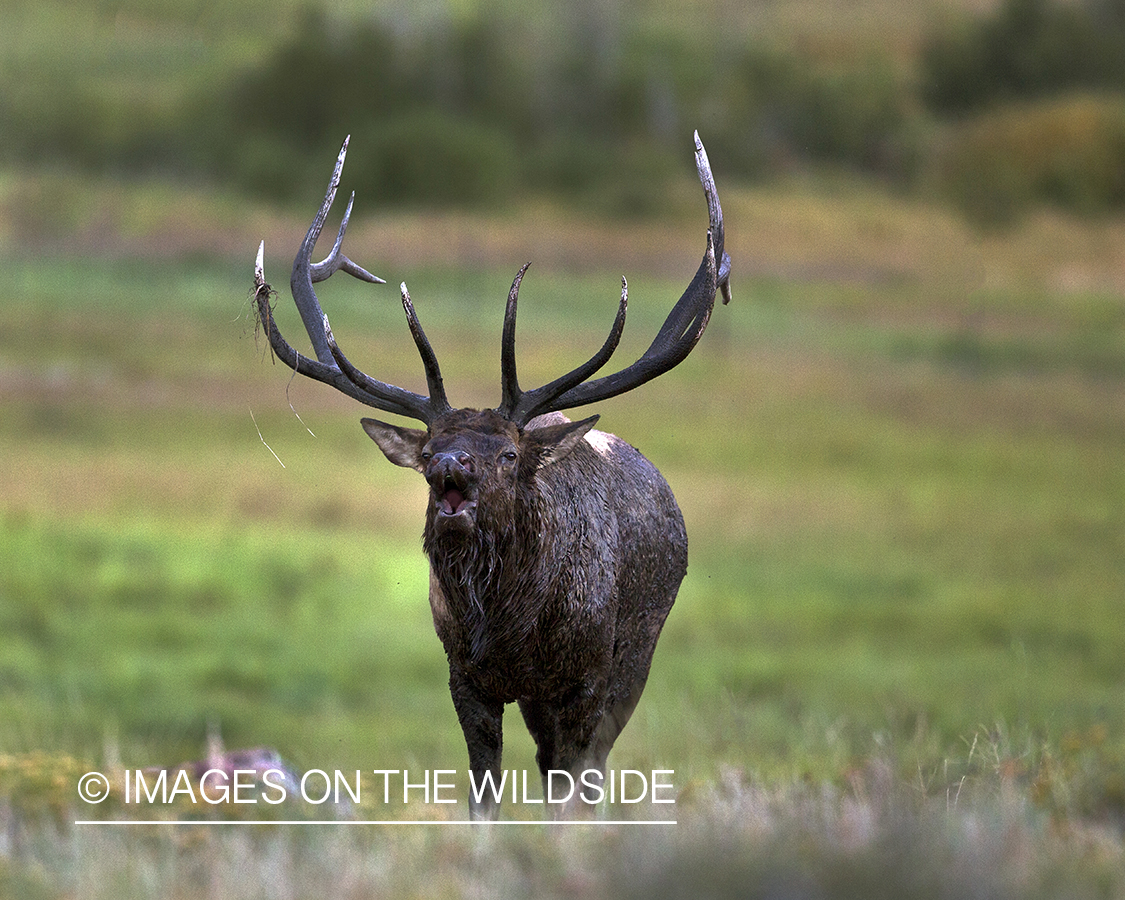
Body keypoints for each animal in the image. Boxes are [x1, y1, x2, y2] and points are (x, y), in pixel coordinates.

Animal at [252, 131, 733, 814]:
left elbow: (577, 781)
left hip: (638, 652)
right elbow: (486, 790)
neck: (508, 629)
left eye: (508, 454)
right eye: (430, 449)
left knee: (588, 768)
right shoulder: (466, 677)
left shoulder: (587, 676)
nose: (450, 464)